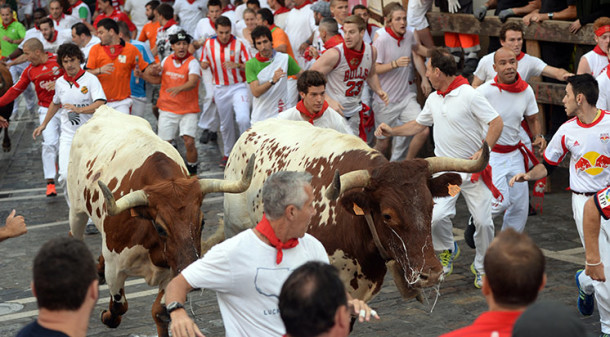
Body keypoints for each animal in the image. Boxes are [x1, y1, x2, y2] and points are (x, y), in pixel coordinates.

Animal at [67, 106, 254, 334]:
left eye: (202, 222)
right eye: (160, 227)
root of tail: (105, 109)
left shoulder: (174, 268)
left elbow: (160, 311)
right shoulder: (115, 268)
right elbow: (119, 307)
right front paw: (106, 316)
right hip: (76, 211)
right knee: (74, 234)